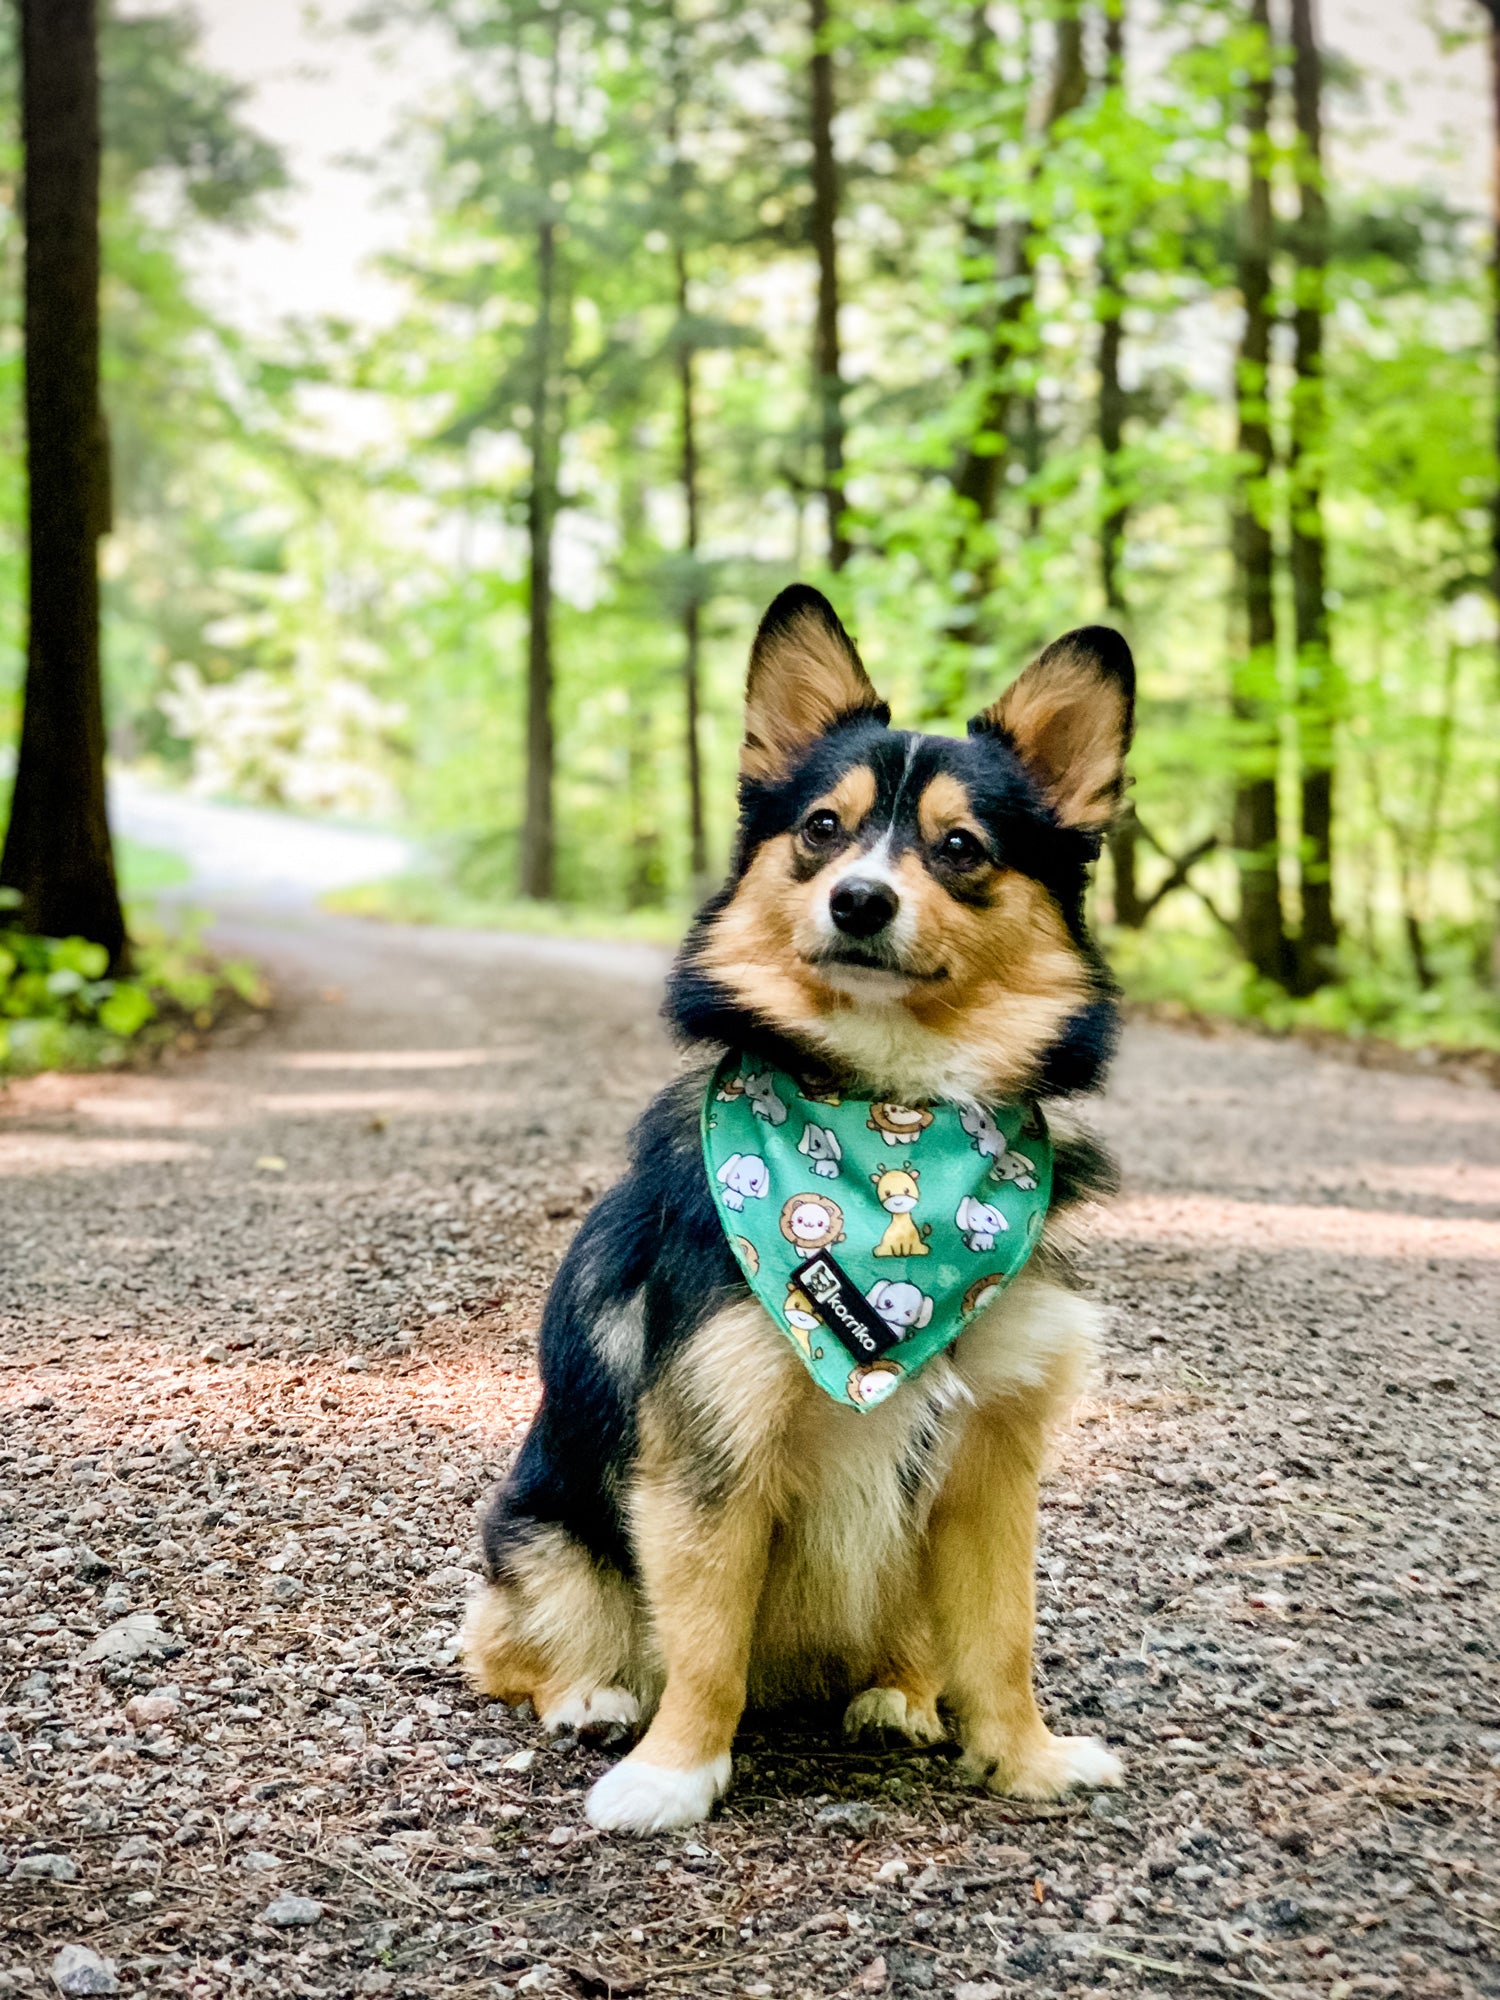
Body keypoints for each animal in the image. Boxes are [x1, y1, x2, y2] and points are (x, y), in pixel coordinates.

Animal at [464, 576, 1136, 1832]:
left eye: (961, 848)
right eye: (822, 827)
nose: (860, 899)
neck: (886, 1110)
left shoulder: (993, 1453)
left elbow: (1002, 1635)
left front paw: (1023, 1756)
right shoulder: (711, 1441)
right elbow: (705, 1640)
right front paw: (676, 1771)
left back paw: (899, 1692)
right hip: (549, 1531)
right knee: (516, 1645)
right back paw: (589, 1697)